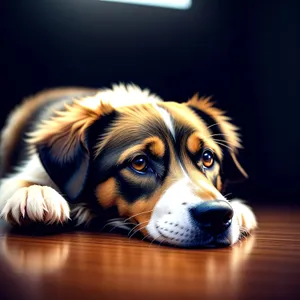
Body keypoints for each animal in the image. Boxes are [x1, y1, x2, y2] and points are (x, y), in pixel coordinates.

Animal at [0, 84, 258, 246]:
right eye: (140, 163)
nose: (218, 214)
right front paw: (36, 193)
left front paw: (238, 209)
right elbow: (16, 184)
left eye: (207, 158)